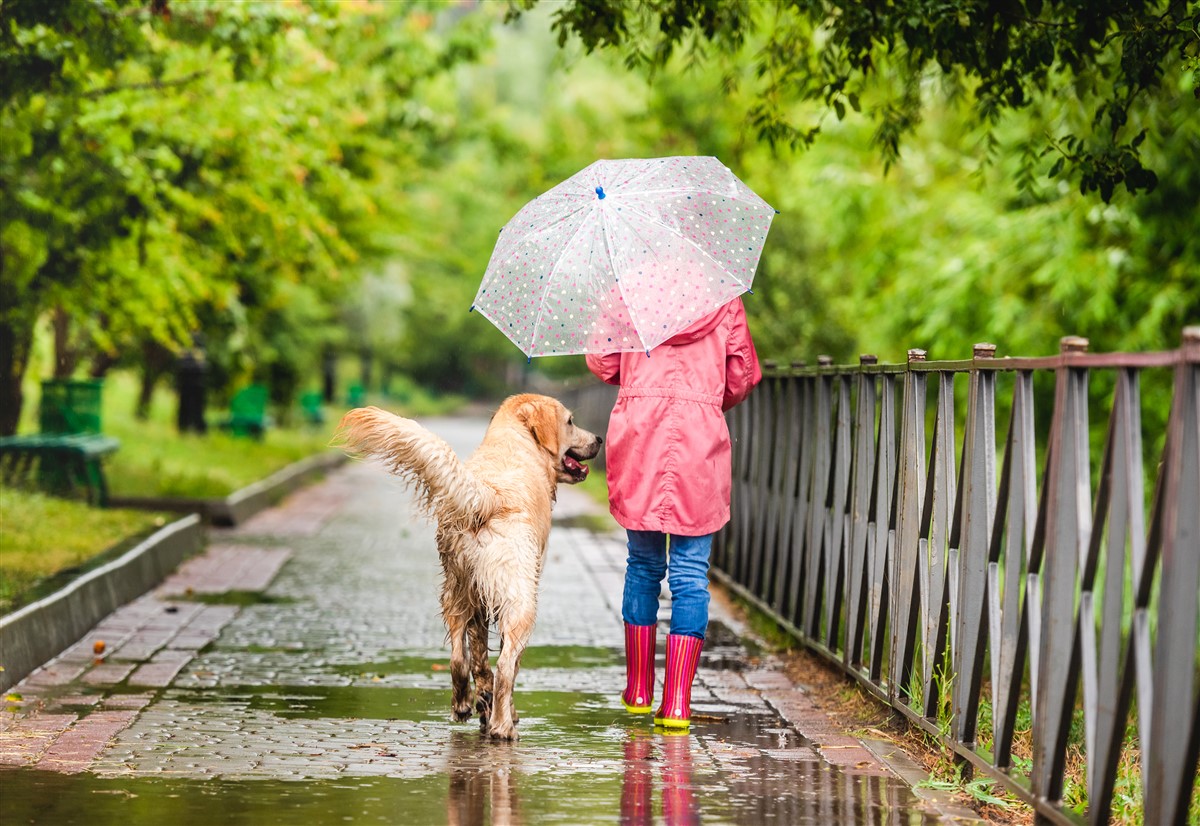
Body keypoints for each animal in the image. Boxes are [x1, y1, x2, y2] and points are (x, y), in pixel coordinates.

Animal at [336, 396, 600, 744]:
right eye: (570, 422)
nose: (599, 439)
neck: (515, 441)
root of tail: (490, 495)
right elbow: (506, 666)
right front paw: (503, 712)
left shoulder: (480, 602)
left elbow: (477, 658)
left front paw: (481, 701)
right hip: (521, 601)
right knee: (506, 667)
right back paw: (503, 727)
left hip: (457, 588)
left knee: (459, 660)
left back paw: (464, 705)